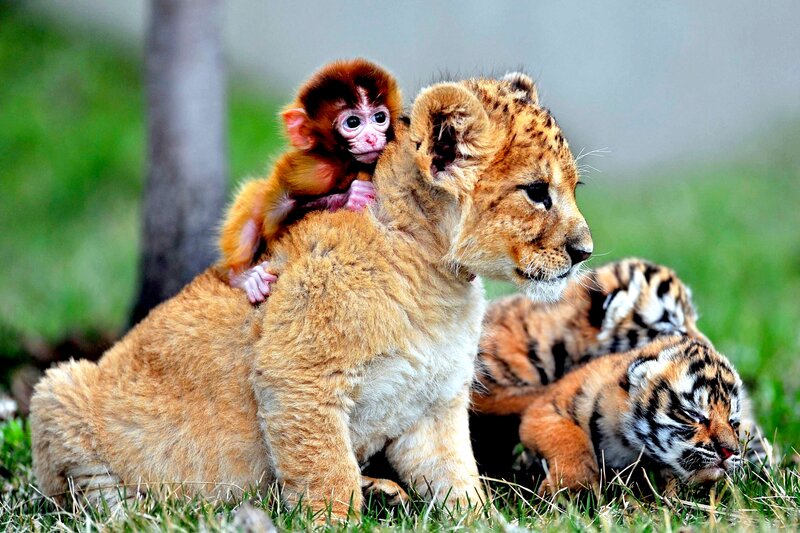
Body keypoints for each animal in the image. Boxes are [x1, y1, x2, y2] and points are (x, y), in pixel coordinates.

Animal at [218, 58, 403, 303]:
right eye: (353, 122)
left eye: (380, 118)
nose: (371, 138)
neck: (346, 162)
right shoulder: (314, 172)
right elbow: (274, 217)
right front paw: (351, 196)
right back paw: (241, 277)